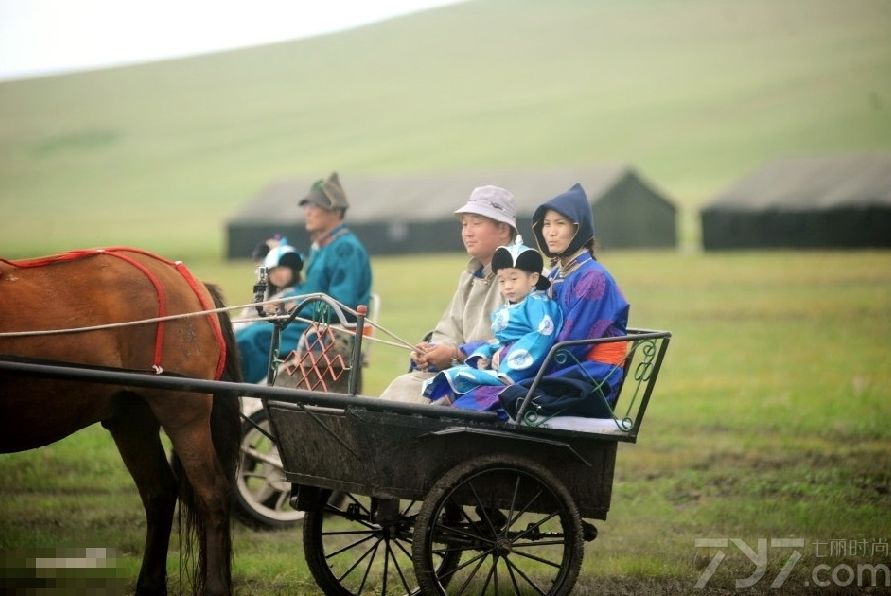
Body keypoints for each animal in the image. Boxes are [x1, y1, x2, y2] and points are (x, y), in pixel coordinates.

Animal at [0, 248, 242, 596]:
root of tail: (188, 282)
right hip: (131, 418)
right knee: (159, 492)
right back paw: (149, 585)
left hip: (185, 414)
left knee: (212, 493)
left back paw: (215, 587)